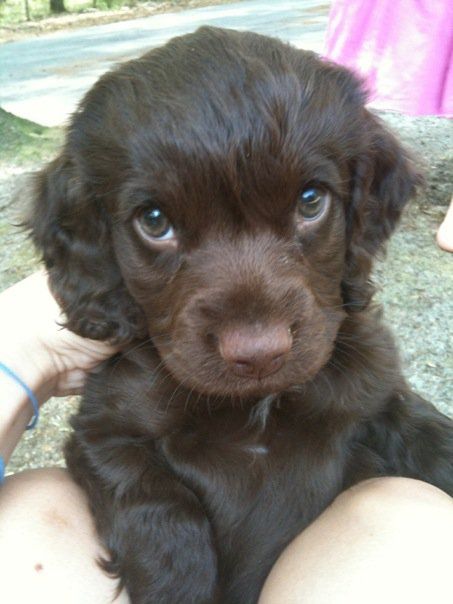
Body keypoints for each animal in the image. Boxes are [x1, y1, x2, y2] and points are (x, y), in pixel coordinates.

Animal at [28, 27, 452, 604]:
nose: (258, 354)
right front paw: (177, 579)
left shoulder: (379, 394)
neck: (258, 405)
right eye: (154, 221)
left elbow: (430, 432)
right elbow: (154, 503)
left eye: (311, 200)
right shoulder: (103, 431)